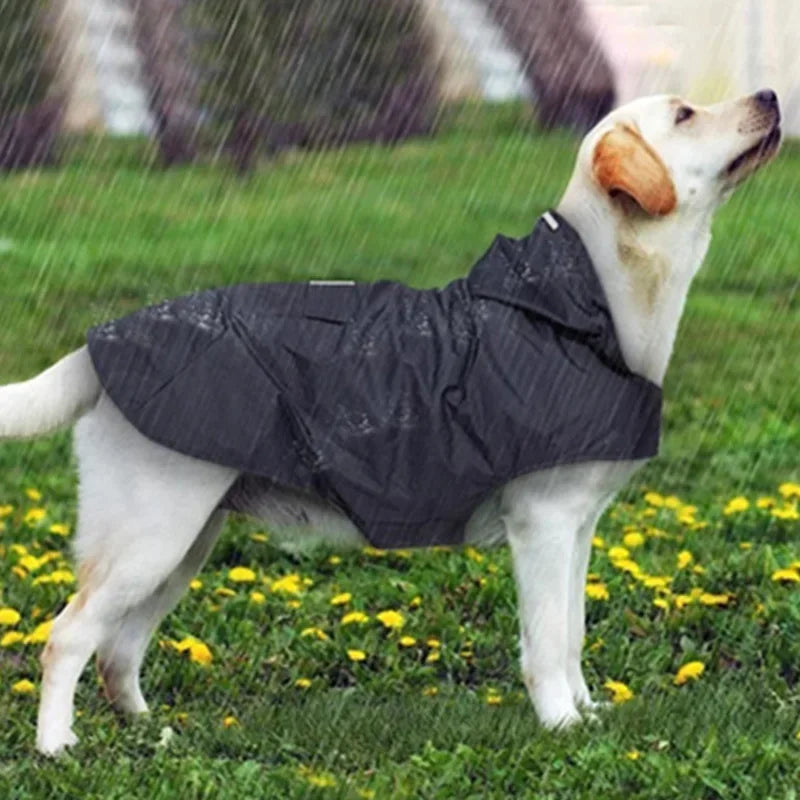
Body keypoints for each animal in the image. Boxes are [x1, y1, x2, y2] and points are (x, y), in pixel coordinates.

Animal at [0, 90, 780, 752]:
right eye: (685, 114)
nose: (772, 96)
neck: (581, 305)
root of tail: (96, 344)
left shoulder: (580, 525)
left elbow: (574, 632)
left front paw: (587, 714)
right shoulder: (544, 524)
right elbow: (547, 641)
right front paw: (561, 727)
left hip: (183, 541)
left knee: (118, 647)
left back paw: (148, 730)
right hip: (150, 536)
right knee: (68, 636)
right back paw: (57, 748)